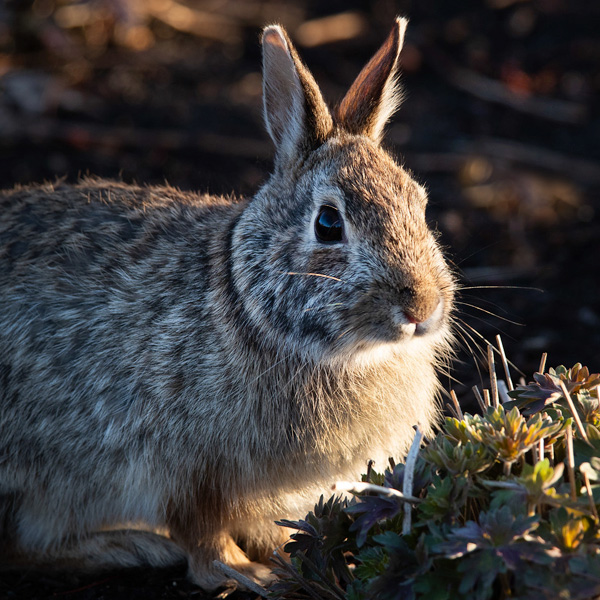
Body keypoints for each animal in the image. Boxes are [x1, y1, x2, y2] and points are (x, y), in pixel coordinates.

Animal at [0, 17, 454, 592]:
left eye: (420, 204)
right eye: (329, 223)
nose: (422, 308)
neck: (251, 308)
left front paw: (290, 560)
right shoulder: (184, 469)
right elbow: (202, 534)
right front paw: (246, 573)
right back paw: (128, 545)